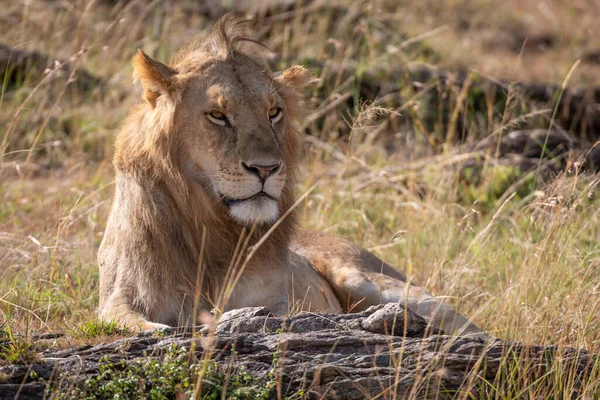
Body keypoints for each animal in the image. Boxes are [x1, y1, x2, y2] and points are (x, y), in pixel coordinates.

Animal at [98, 13, 482, 338]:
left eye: (274, 112)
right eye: (218, 115)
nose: (266, 169)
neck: (211, 227)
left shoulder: (280, 301)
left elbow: (268, 314)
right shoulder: (120, 295)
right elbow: (135, 323)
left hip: (372, 280)